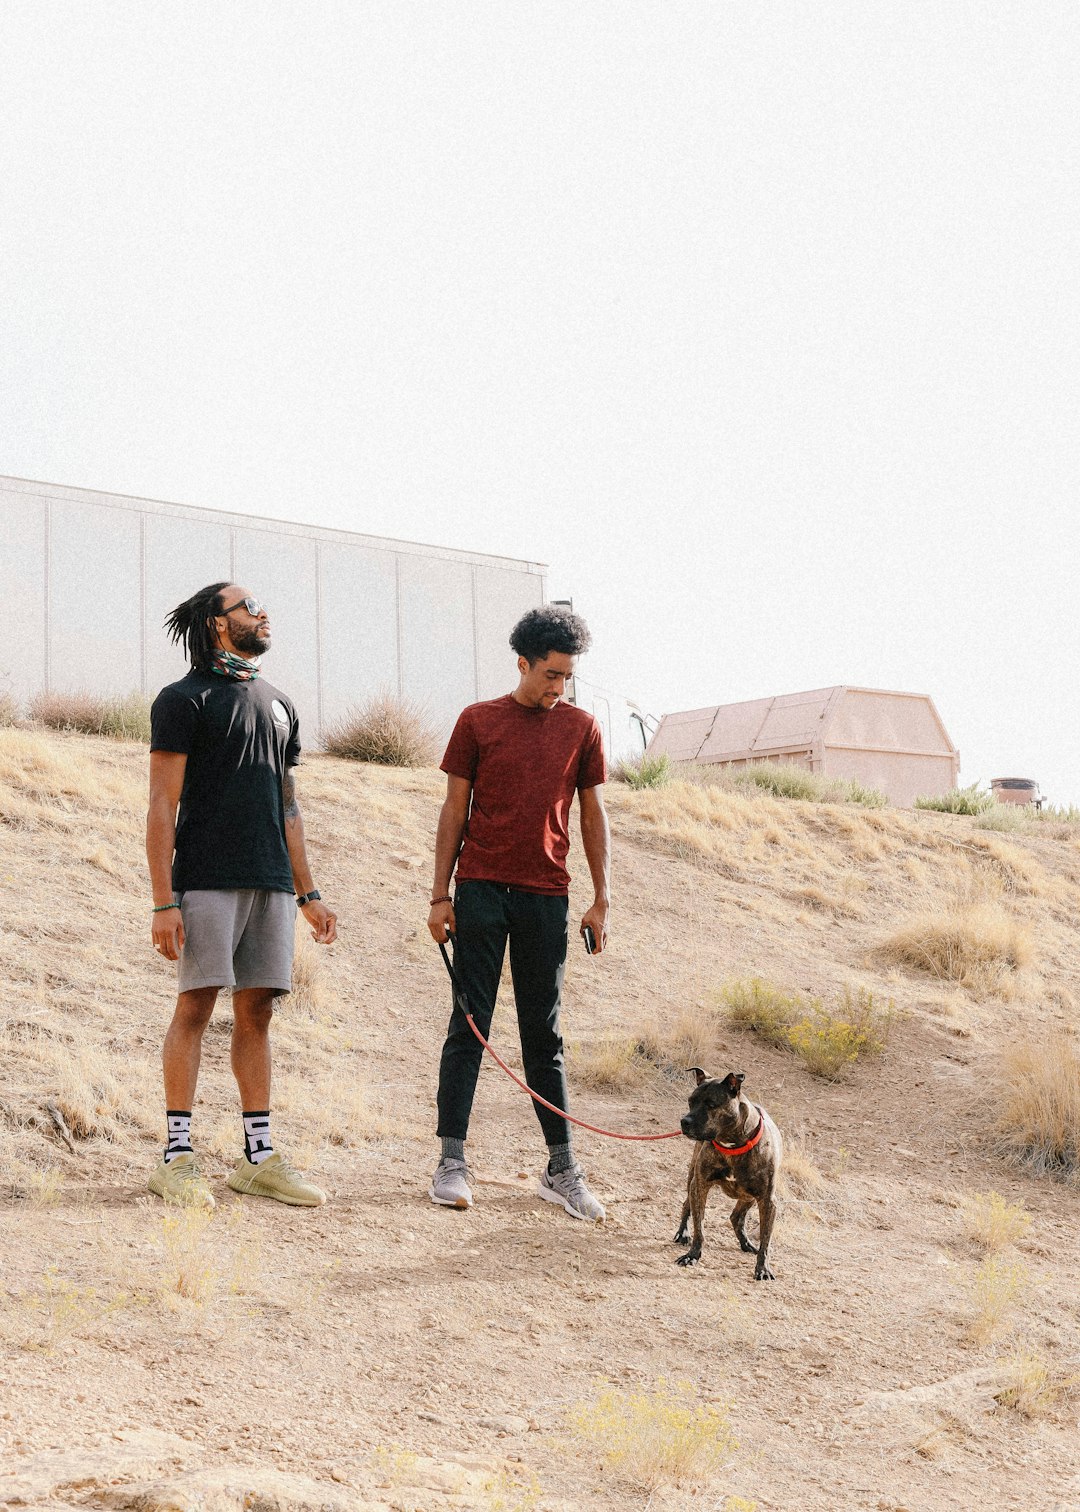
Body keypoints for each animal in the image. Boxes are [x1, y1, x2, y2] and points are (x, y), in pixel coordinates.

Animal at [668, 1070, 780, 1282]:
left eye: (711, 1104)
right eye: (690, 1101)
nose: (684, 1121)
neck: (732, 1145)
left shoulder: (767, 1200)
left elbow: (766, 1241)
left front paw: (763, 1268)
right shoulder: (700, 1185)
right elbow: (699, 1227)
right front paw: (692, 1255)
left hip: (749, 1196)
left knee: (736, 1217)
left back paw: (746, 1244)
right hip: (692, 1180)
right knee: (687, 1205)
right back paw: (683, 1232)